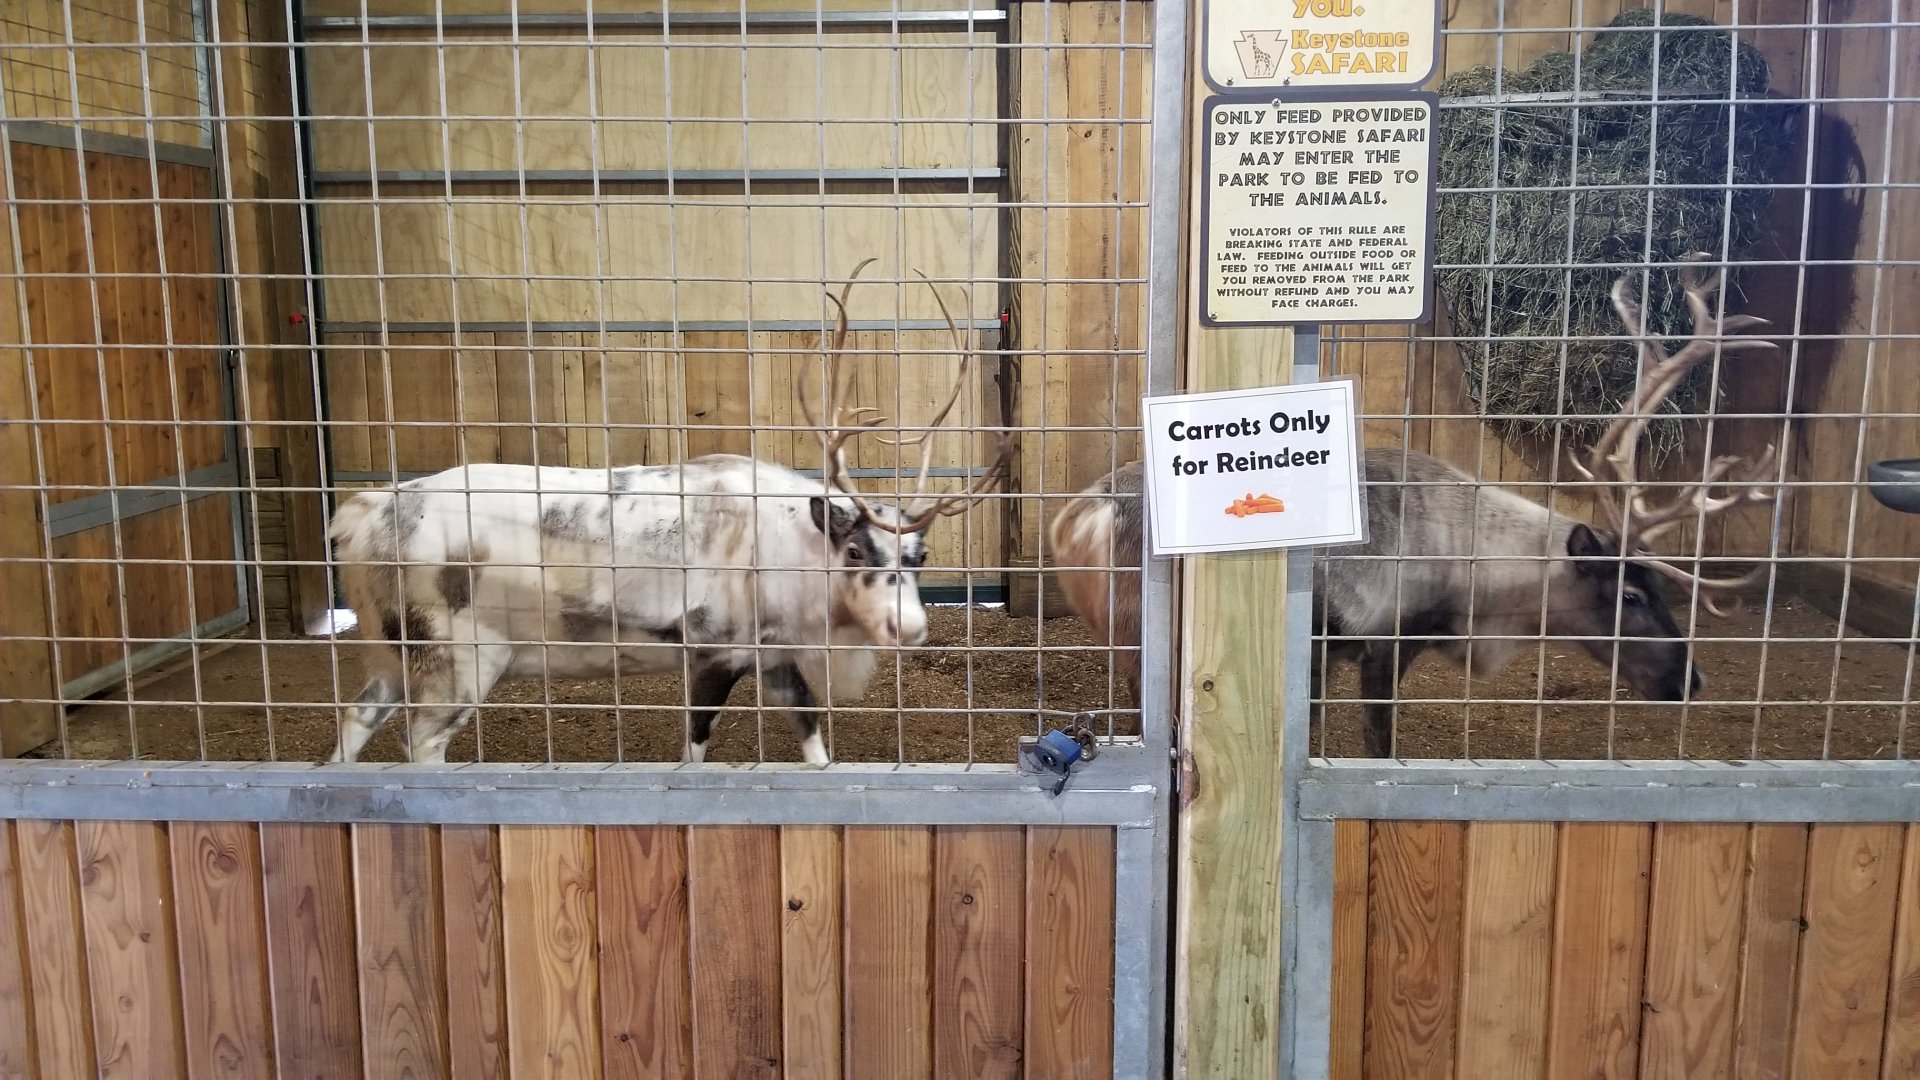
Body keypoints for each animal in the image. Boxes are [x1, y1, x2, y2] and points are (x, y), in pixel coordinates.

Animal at [326, 260, 1010, 765]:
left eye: (920, 555)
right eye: (854, 549)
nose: (909, 627)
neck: (792, 555)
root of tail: (360, 516)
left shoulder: (774, 658)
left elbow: (814, 739)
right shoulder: (711, 651)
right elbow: (695, 750)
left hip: (392, 653)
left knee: (355, 720)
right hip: (458, 661)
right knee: (421, 743)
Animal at [1047, 254, 1781, 756]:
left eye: (1660, 586)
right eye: (1629, 595)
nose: (1690, 679)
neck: (1477, 571)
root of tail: (1075, 517)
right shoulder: (1381, 638)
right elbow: (1375, 741)